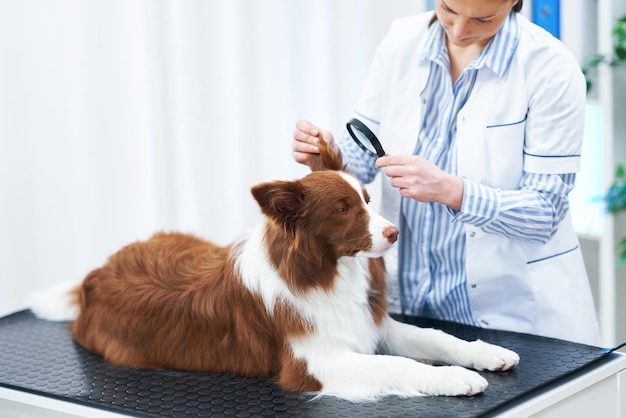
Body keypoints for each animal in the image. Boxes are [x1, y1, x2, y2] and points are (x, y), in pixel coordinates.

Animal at [29, 139, 516, 400]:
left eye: (367, 199)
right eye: (343, 209)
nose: (395, 232)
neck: (328, 271)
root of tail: (95, 275)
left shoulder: (371, 324)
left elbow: (436, 336)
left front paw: (487, 353)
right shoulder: (312, 363)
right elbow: (400, 366)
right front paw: (454, 378)